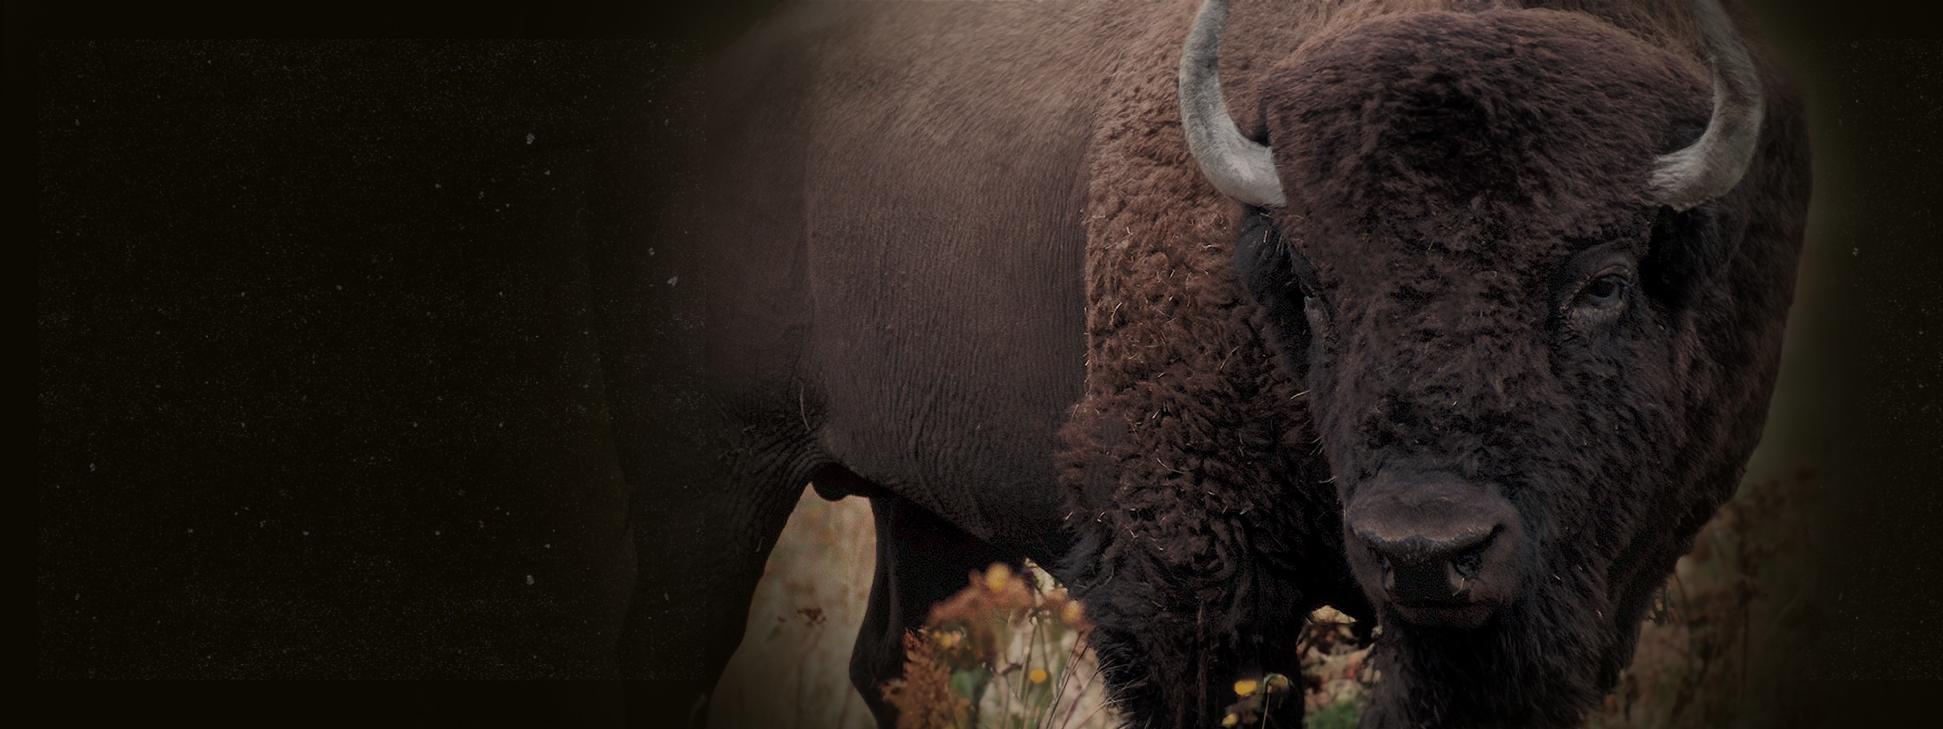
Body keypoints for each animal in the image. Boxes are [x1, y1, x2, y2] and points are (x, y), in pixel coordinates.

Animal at [622, 1, 1809, 727]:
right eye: (1312, 286)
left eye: (1601, 282)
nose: (1425, 549)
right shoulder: (1188, 572)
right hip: (704, 477)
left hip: (922, 505)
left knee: (900, 665)